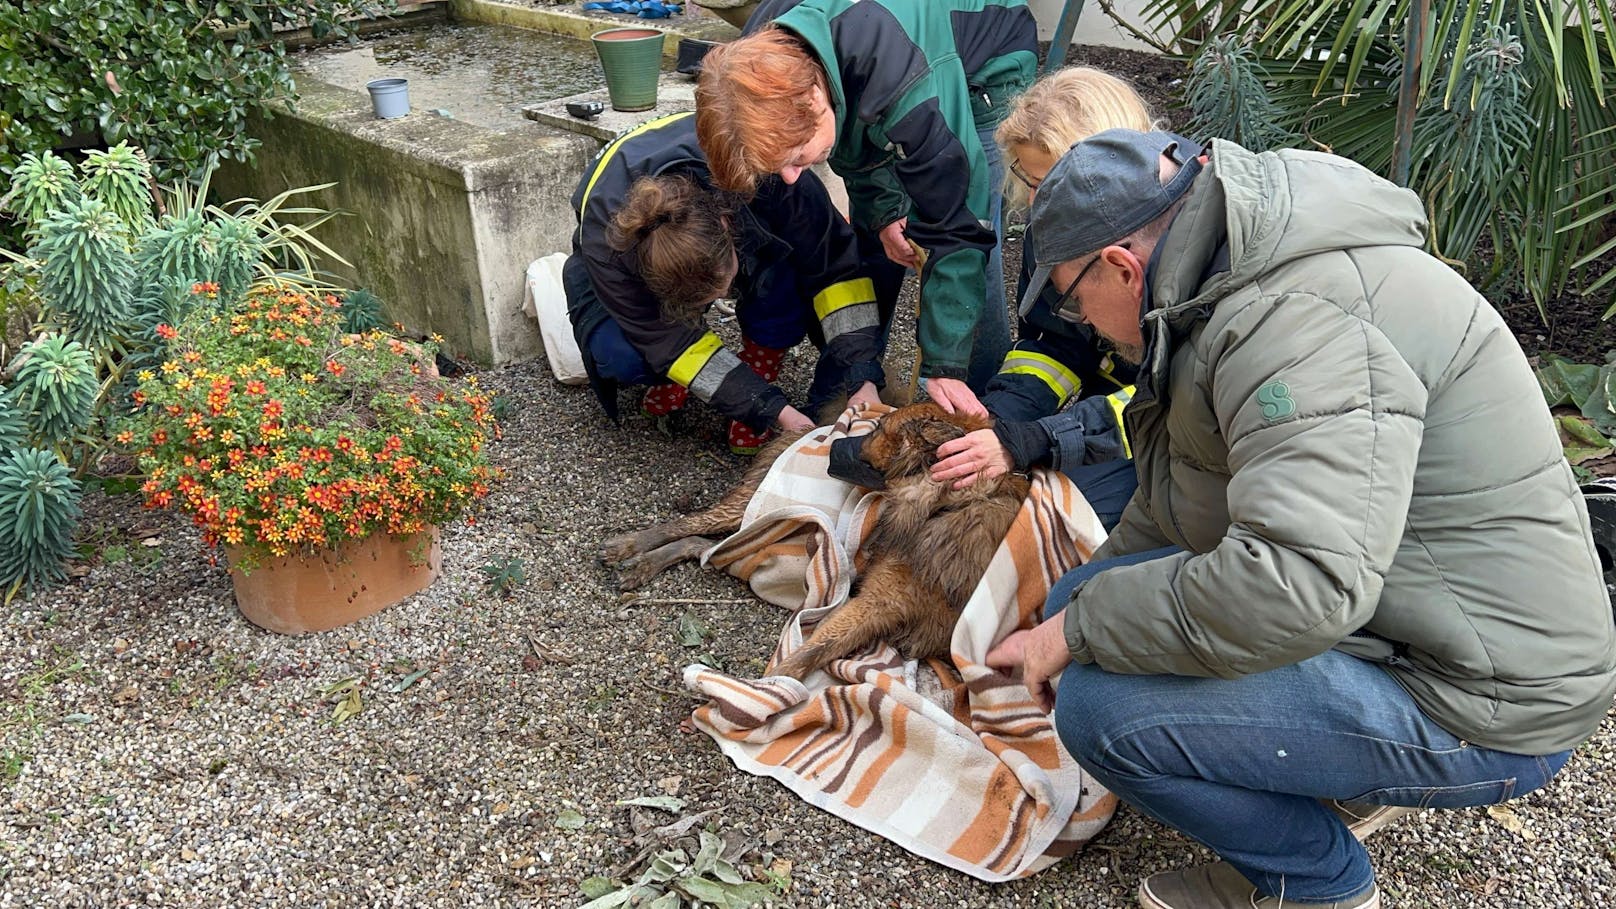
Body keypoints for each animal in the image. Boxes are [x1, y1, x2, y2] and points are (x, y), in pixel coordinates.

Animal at [601, 399, 1027, 676]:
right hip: (755, 507)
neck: (953, 502)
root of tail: (805, 428)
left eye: (877, 429)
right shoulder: (877, 602)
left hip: (764, 532)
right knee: (690, 523)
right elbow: (808, 652)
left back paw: (641, 565)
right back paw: (630, 546)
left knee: (705, 547)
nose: (835, 444)